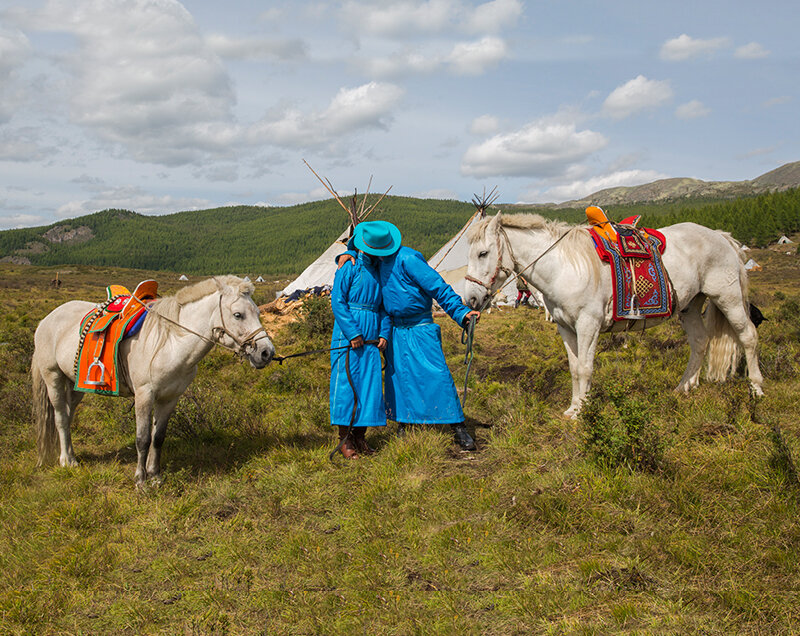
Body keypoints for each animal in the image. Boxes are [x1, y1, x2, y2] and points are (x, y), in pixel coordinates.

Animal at [32, 276, 276, 484]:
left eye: (257, 312)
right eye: (238, 315)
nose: (266, 352)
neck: (171, 342)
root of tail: (47, 319)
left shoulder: (169, 398)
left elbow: (158, 437)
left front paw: (155, 475)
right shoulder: (144, 395)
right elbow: (142, 439)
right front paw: (140, 479)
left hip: (76, 386)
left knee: (68, 415)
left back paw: (72, 454)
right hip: (53, 377)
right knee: (60, 417)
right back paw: (67, 461)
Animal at [462, 211, 764, 418]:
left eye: (483, 253)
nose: (471, 299)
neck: (563, 267)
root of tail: (721, 236)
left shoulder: (588, 324)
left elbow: (585, 368)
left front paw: (582, 410)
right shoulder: (565, 327)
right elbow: (574, 368)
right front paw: (573, 407)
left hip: (727, 297)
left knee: (748, 336)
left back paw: (756, 389)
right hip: (690, 306)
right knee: (700, 342)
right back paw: (685, 387)